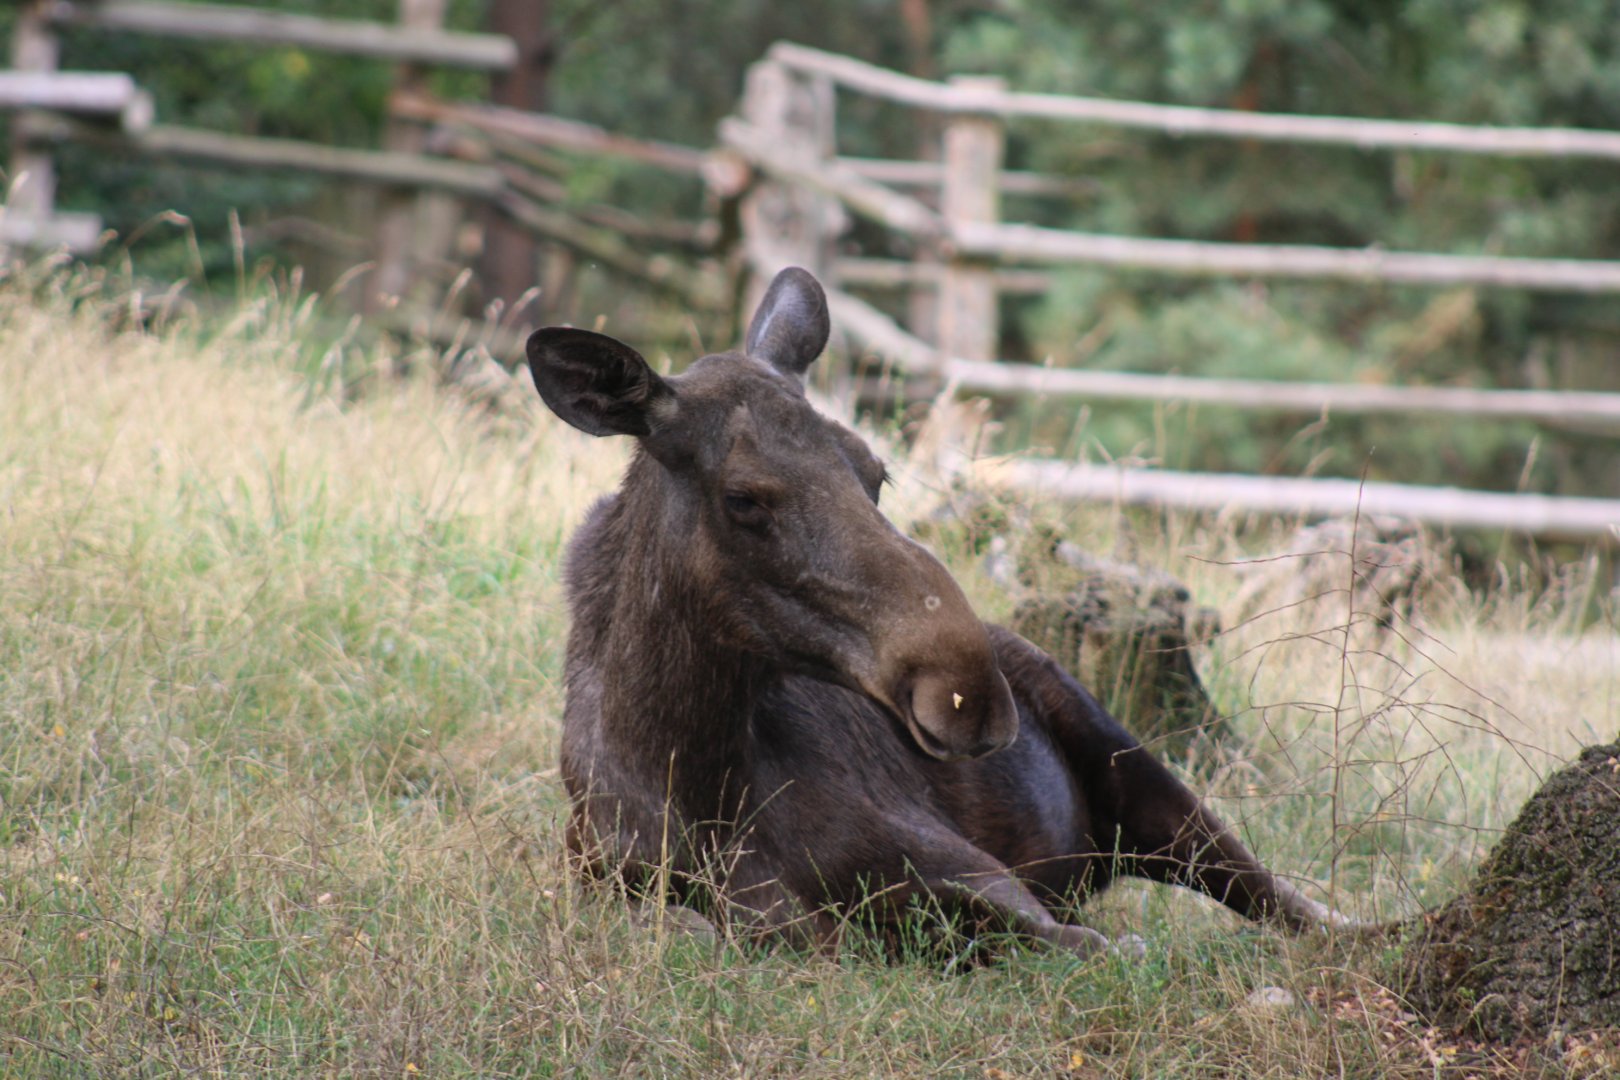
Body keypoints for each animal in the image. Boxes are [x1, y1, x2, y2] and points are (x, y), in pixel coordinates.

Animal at [527, 266, 1352, 956]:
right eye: (743, 498)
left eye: (876, 471)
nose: (969, 692)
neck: (692, 770)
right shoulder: (612, 886)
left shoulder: (971, 874)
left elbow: (1098, 947)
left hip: (1131, 765)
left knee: (1276, 894)